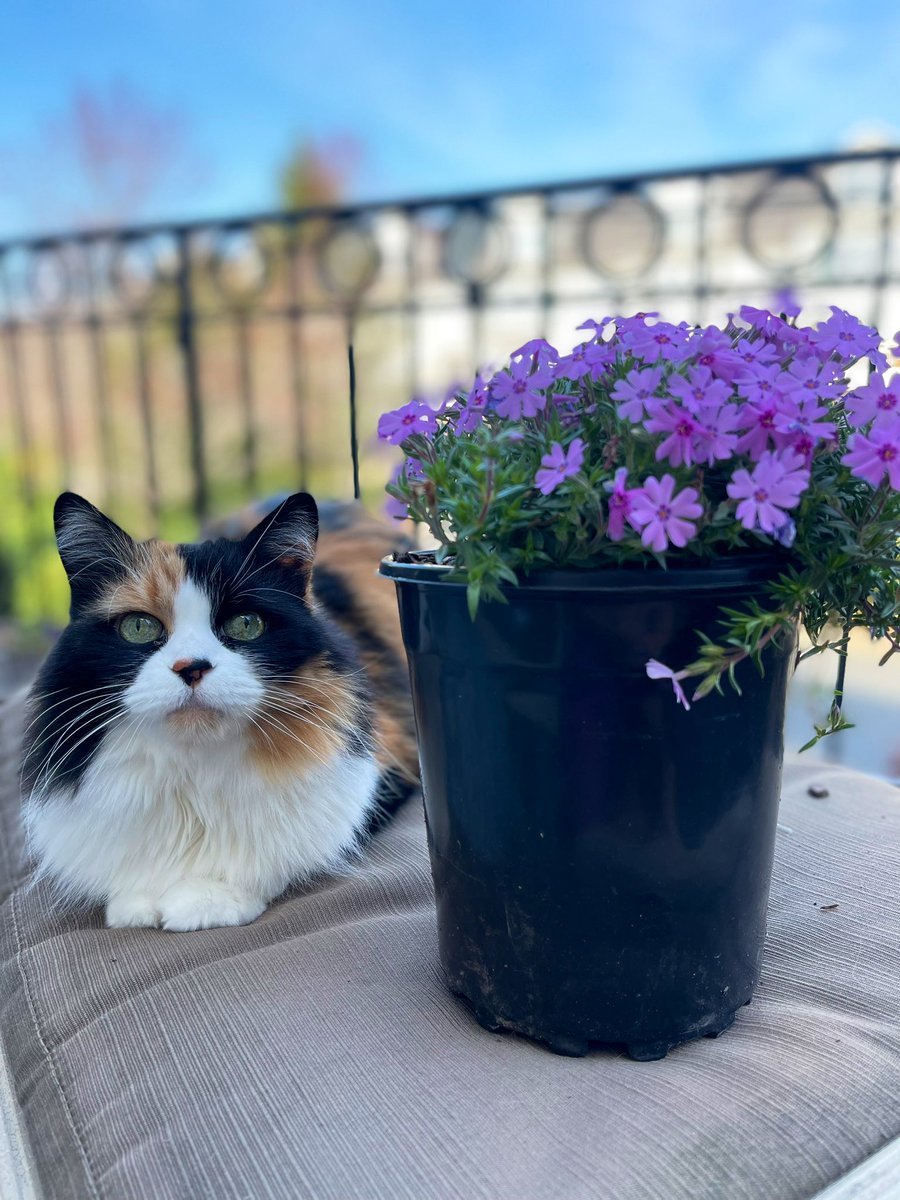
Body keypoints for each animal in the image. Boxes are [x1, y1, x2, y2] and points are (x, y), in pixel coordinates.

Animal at [19, 492, 417, 931]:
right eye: (139, 628)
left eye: (245, 624)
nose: (191, 667)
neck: (195, 775)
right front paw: (139, 902)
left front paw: (205, 898)